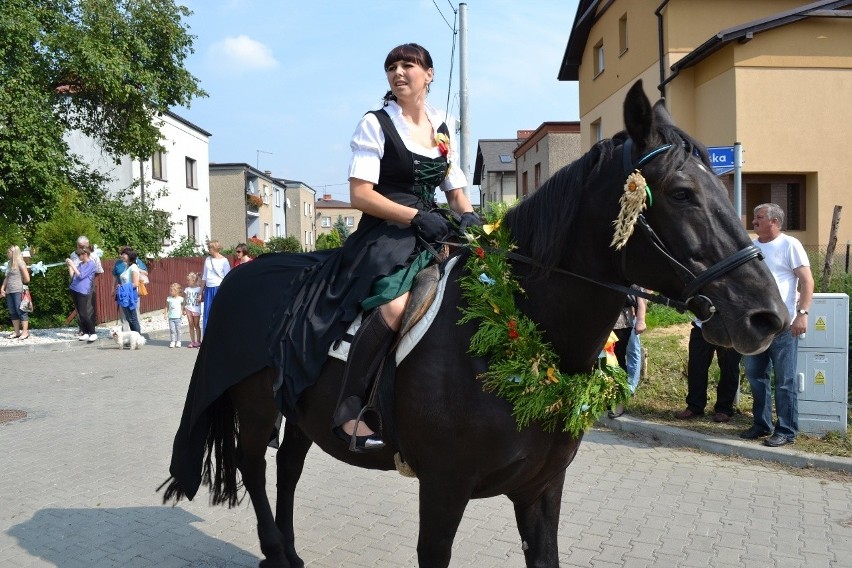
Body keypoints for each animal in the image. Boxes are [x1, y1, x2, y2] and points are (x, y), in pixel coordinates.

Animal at [160, 81, 784, 568]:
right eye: (681, 193)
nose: (767, 316)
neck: (517, 334)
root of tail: (244, 271)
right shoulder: (442, 490)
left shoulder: (540, 490)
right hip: (256, 407)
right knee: (255, 469)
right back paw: (274, 548)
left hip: (302, 411)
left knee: (287, 469)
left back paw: (289, 552)